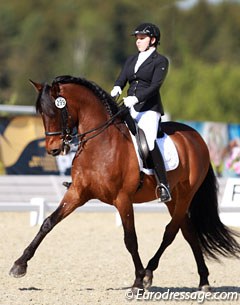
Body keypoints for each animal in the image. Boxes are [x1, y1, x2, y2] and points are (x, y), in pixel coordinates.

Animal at [8, 75, 239, 290]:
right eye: (41, 114)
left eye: (56, 112)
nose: (53, 150)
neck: (99, 143)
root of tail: (197, 138)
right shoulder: (77, 193)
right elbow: (48, 222)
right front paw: (19, 265)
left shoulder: (123, 199)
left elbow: (130, 239)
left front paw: (137, 281)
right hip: (173, 198)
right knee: (188, 232)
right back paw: (203, 280)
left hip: (186, 194)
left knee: (171, 231)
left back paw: (150, 273)